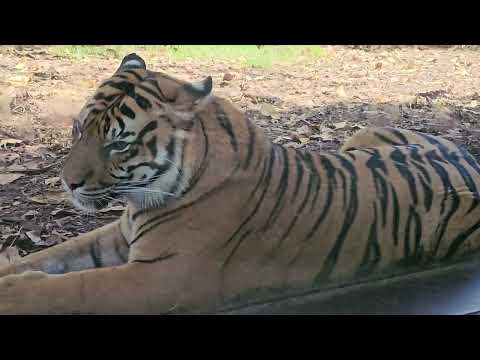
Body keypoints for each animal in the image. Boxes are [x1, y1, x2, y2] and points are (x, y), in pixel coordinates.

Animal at [0, 52, 480, 314]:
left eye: (118, 144)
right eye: (79, 128)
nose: (67, 184)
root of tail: (467, 155)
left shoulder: (160, 277)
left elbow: (72, 286)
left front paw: (12, 292)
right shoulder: (119, 235)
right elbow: (51, 257)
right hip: (361, 136)